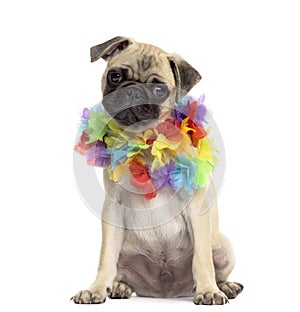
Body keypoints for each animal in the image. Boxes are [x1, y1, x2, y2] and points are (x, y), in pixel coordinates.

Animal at [71, 36, 243, 304]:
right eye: (115, 76)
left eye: (159, 90)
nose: (133, 91)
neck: (145, 142)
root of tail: (165, 291)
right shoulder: (113, 209)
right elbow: (106, 258)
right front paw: (97, 289)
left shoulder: (195, 208)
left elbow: (202, 259)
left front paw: (208, 290)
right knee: (120, 271)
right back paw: (119, 287)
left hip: (223, 246)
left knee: (215, 266)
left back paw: (225, 286)